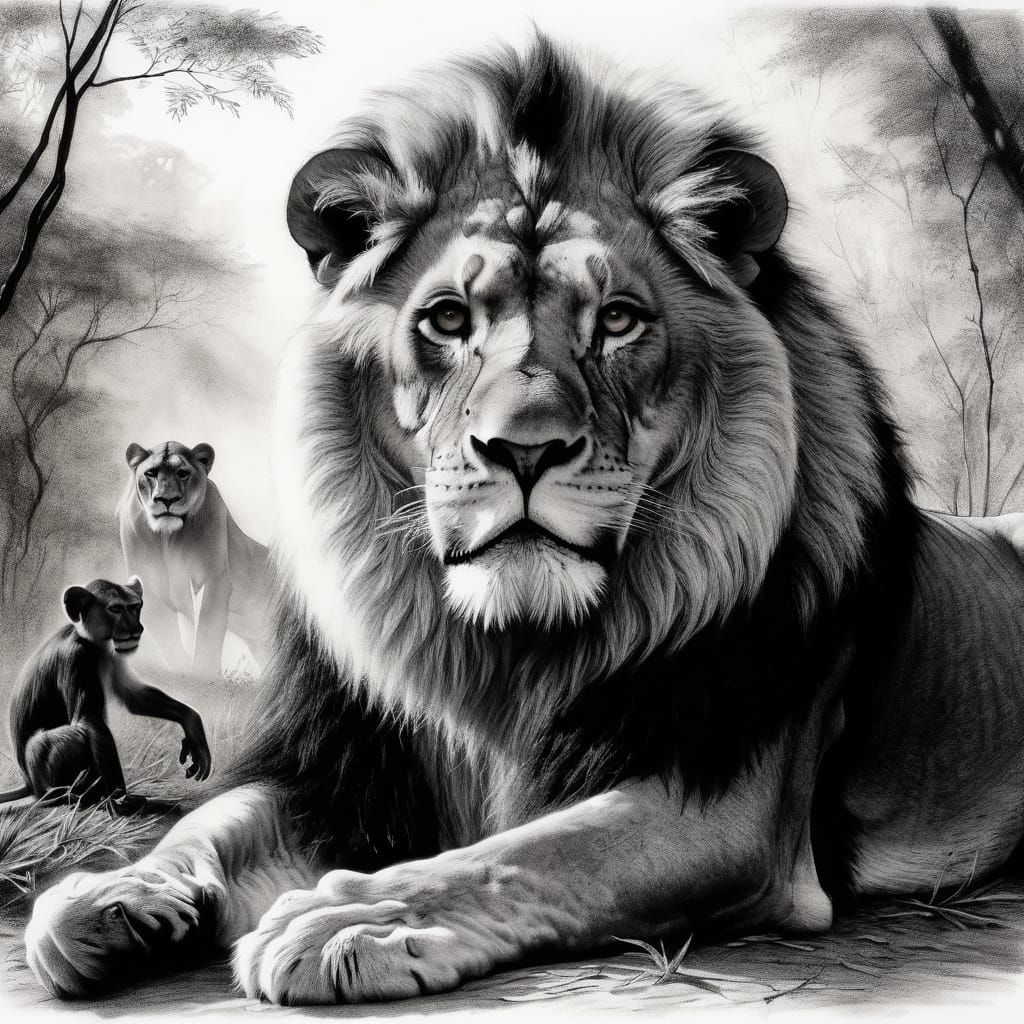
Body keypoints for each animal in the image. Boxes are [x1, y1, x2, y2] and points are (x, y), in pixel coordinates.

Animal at [0, 577, 212, 813]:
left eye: (135, 606)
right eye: (116, 609)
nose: (136, 628)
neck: (91, 642)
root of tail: (28, 783)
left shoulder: (114, 657)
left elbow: (134, 696)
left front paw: (193, 727)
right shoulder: (76, 658)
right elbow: (90, 721)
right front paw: (120, 799)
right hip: (46, 773)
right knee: (65, 738)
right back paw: (80, 797)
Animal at [117, 442, 273, 675]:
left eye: (182, 473)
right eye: (150, 473)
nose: (167, 499)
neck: (167, 537)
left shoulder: (212, 578)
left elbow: (207, 631)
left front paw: (203, 673)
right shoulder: (147, 585)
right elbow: (168, 638)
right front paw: (183, 670)